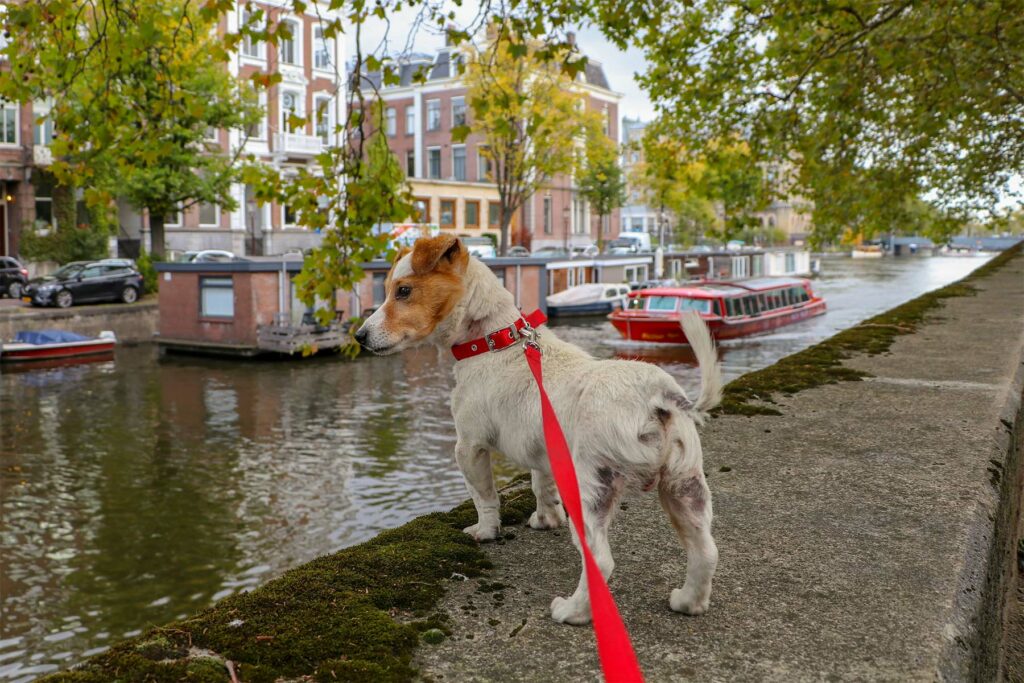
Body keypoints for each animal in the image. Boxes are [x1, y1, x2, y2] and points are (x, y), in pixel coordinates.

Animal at [356, 235, 724, 626]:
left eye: (403, 290)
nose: (359, 336)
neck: (495, 341)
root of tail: (655, 394)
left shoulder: (468, 447)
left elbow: (485, 498)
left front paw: (485, 532)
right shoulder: (543, 451)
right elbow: (541, 487)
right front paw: (546, 520)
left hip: (592, 489)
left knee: (601, 561)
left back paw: (573, 612)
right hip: (685, 488)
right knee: (706, 552)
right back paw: (688, 602)